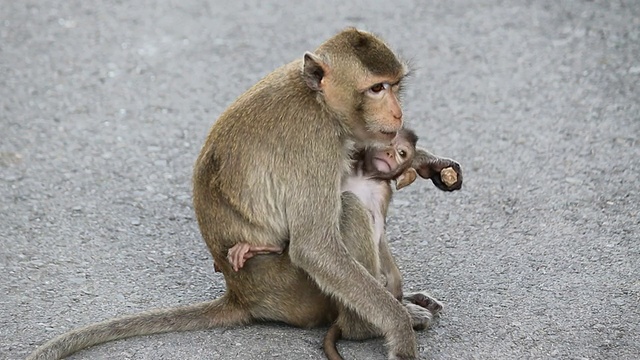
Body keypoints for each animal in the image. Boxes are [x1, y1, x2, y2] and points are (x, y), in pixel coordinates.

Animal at [26, 28, 436, 360]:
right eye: (376, 88)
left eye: (395, 85)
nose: (398, 113)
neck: (316, 99)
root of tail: (240, 295)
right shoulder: (314, 141)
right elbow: (315, 247)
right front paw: (398, 329)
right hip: (291, 290)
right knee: (348, 208)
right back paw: (362, 327)